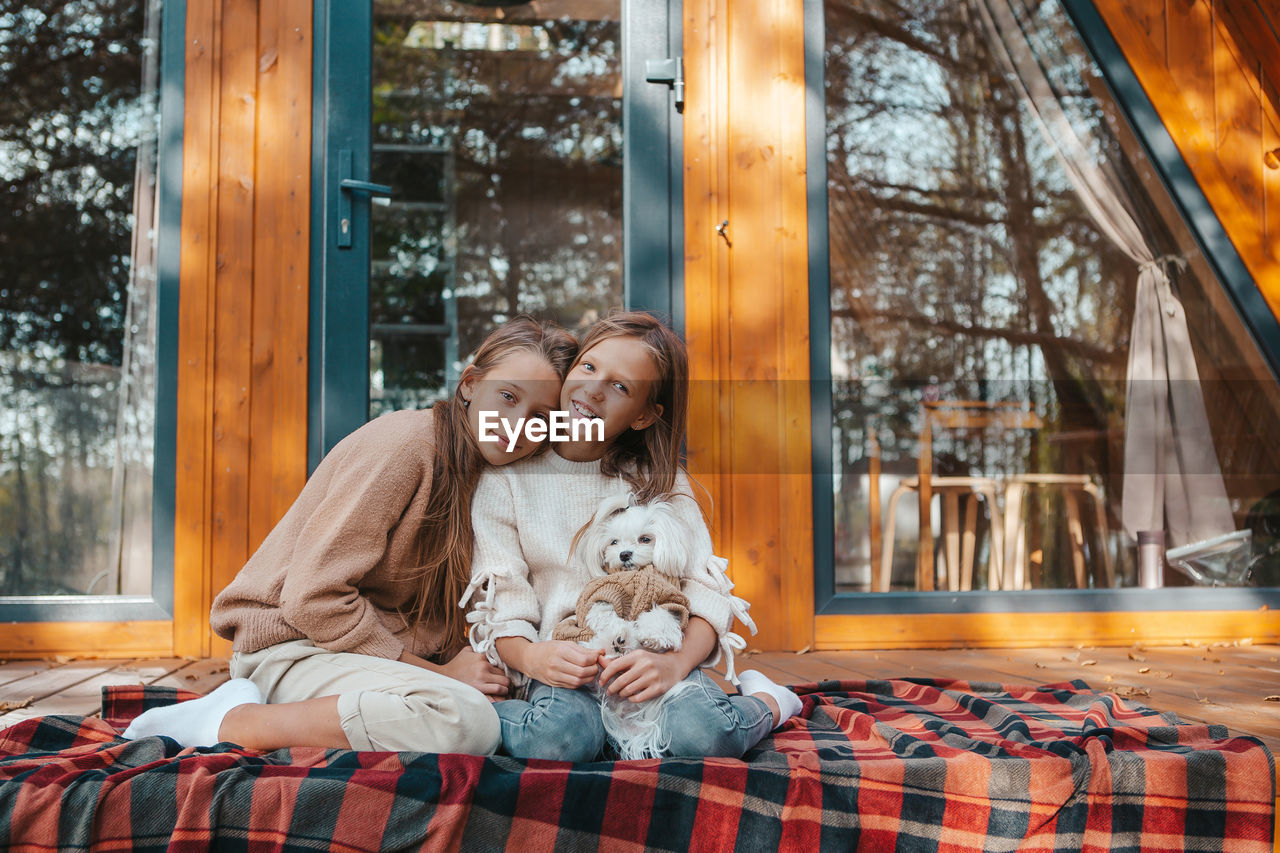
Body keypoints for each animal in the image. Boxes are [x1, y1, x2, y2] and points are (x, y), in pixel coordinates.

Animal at [552, 491, 701, 758]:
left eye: (645, 539)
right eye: (613, 542)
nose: (624, 554)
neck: (639, 574)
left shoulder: (672, 603)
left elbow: (660, 617)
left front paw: (653, 635)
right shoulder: (602, 594)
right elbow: (604, 614)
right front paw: (621, 630)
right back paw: (616, 641)